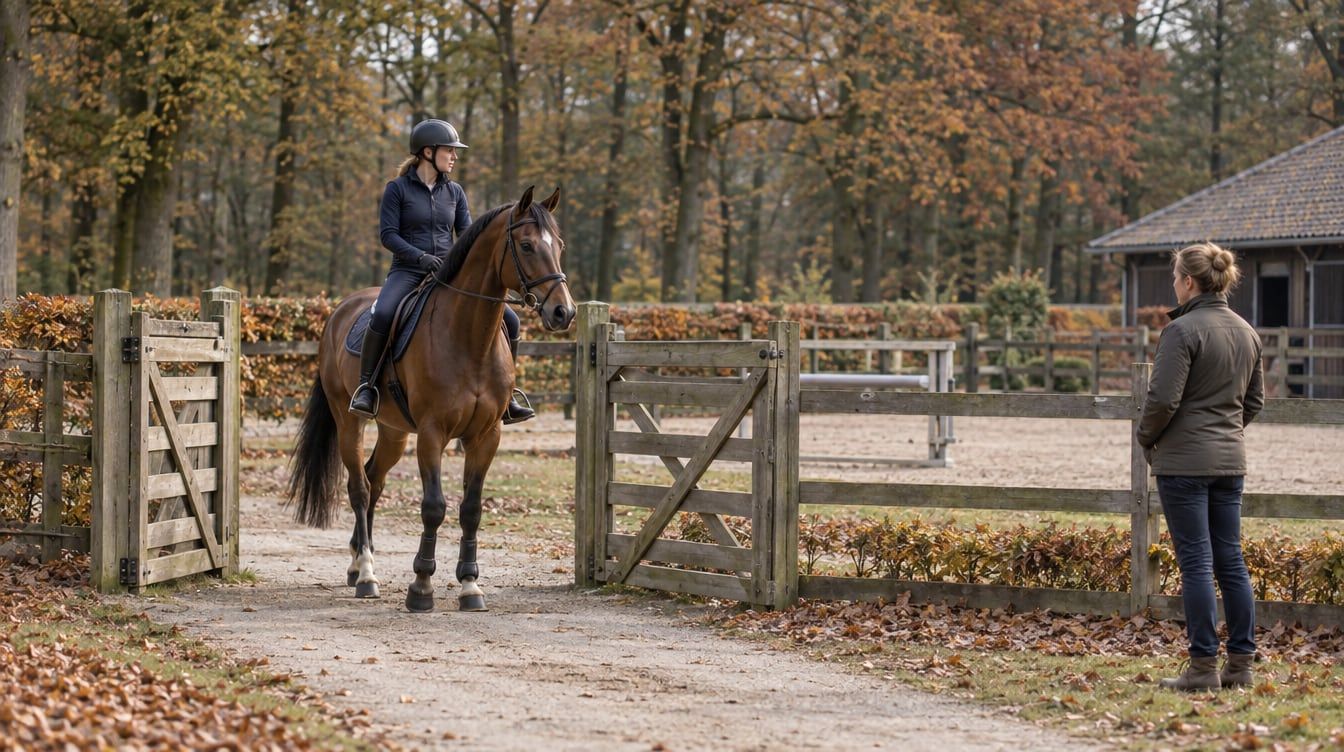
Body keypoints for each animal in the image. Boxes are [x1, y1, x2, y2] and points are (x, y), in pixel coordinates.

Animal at [286, 185, 576, 612]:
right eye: (526, 245)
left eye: (559, 245)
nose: (563, 312)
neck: (469, 337)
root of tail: (340, 311)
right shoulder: (432, 433)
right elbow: (434, 507)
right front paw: (421, 586)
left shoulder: (486, 435)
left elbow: (471, 509)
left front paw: (470, 585)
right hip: (349, 420)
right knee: (359, 487)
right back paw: (367, 574)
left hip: (393, 431)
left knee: (374, 481)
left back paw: (357, 563)